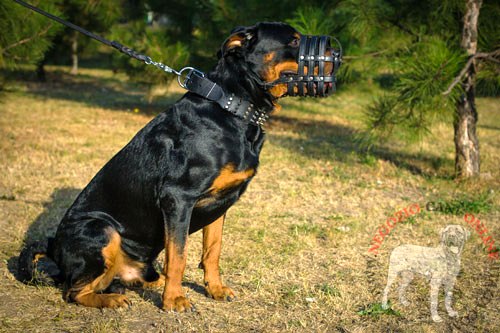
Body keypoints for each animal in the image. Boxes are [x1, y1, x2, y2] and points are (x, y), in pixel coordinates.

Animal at [19, 22, 338, 310]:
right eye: (294, 40)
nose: (336, 50)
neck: (232, 106)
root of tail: (52, 246)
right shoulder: (178, 198)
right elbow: (179, 255)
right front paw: (174, 300)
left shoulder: (220, 203)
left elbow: (213, 251)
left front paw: (215, 289)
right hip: (101, 229)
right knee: (73, 291)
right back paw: (112, 299)